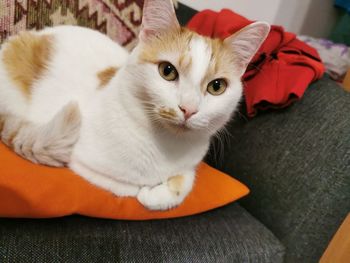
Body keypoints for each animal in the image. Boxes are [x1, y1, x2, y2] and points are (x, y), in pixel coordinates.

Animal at [0, 0, 270, 210]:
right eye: (167, 71)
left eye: (216, 86)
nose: (189, 109)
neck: (166, 145)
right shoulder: (78, 160)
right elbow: (126, 187)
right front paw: (145, 190)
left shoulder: (191, 162)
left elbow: (185, 179)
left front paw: (162, 193)